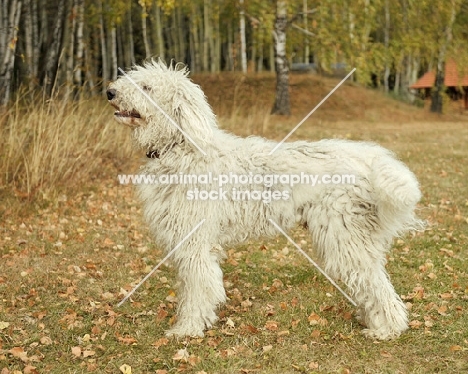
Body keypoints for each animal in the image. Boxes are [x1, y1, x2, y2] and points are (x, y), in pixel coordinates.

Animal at [107, 60, 424, 340]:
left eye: (147, 87)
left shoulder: (195, 243)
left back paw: (388, 328)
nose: (110, 91)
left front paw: (187, 328)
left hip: (343, 235)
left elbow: (199, 288)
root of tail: (366, 157)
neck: (181, 147)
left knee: (375, 283)